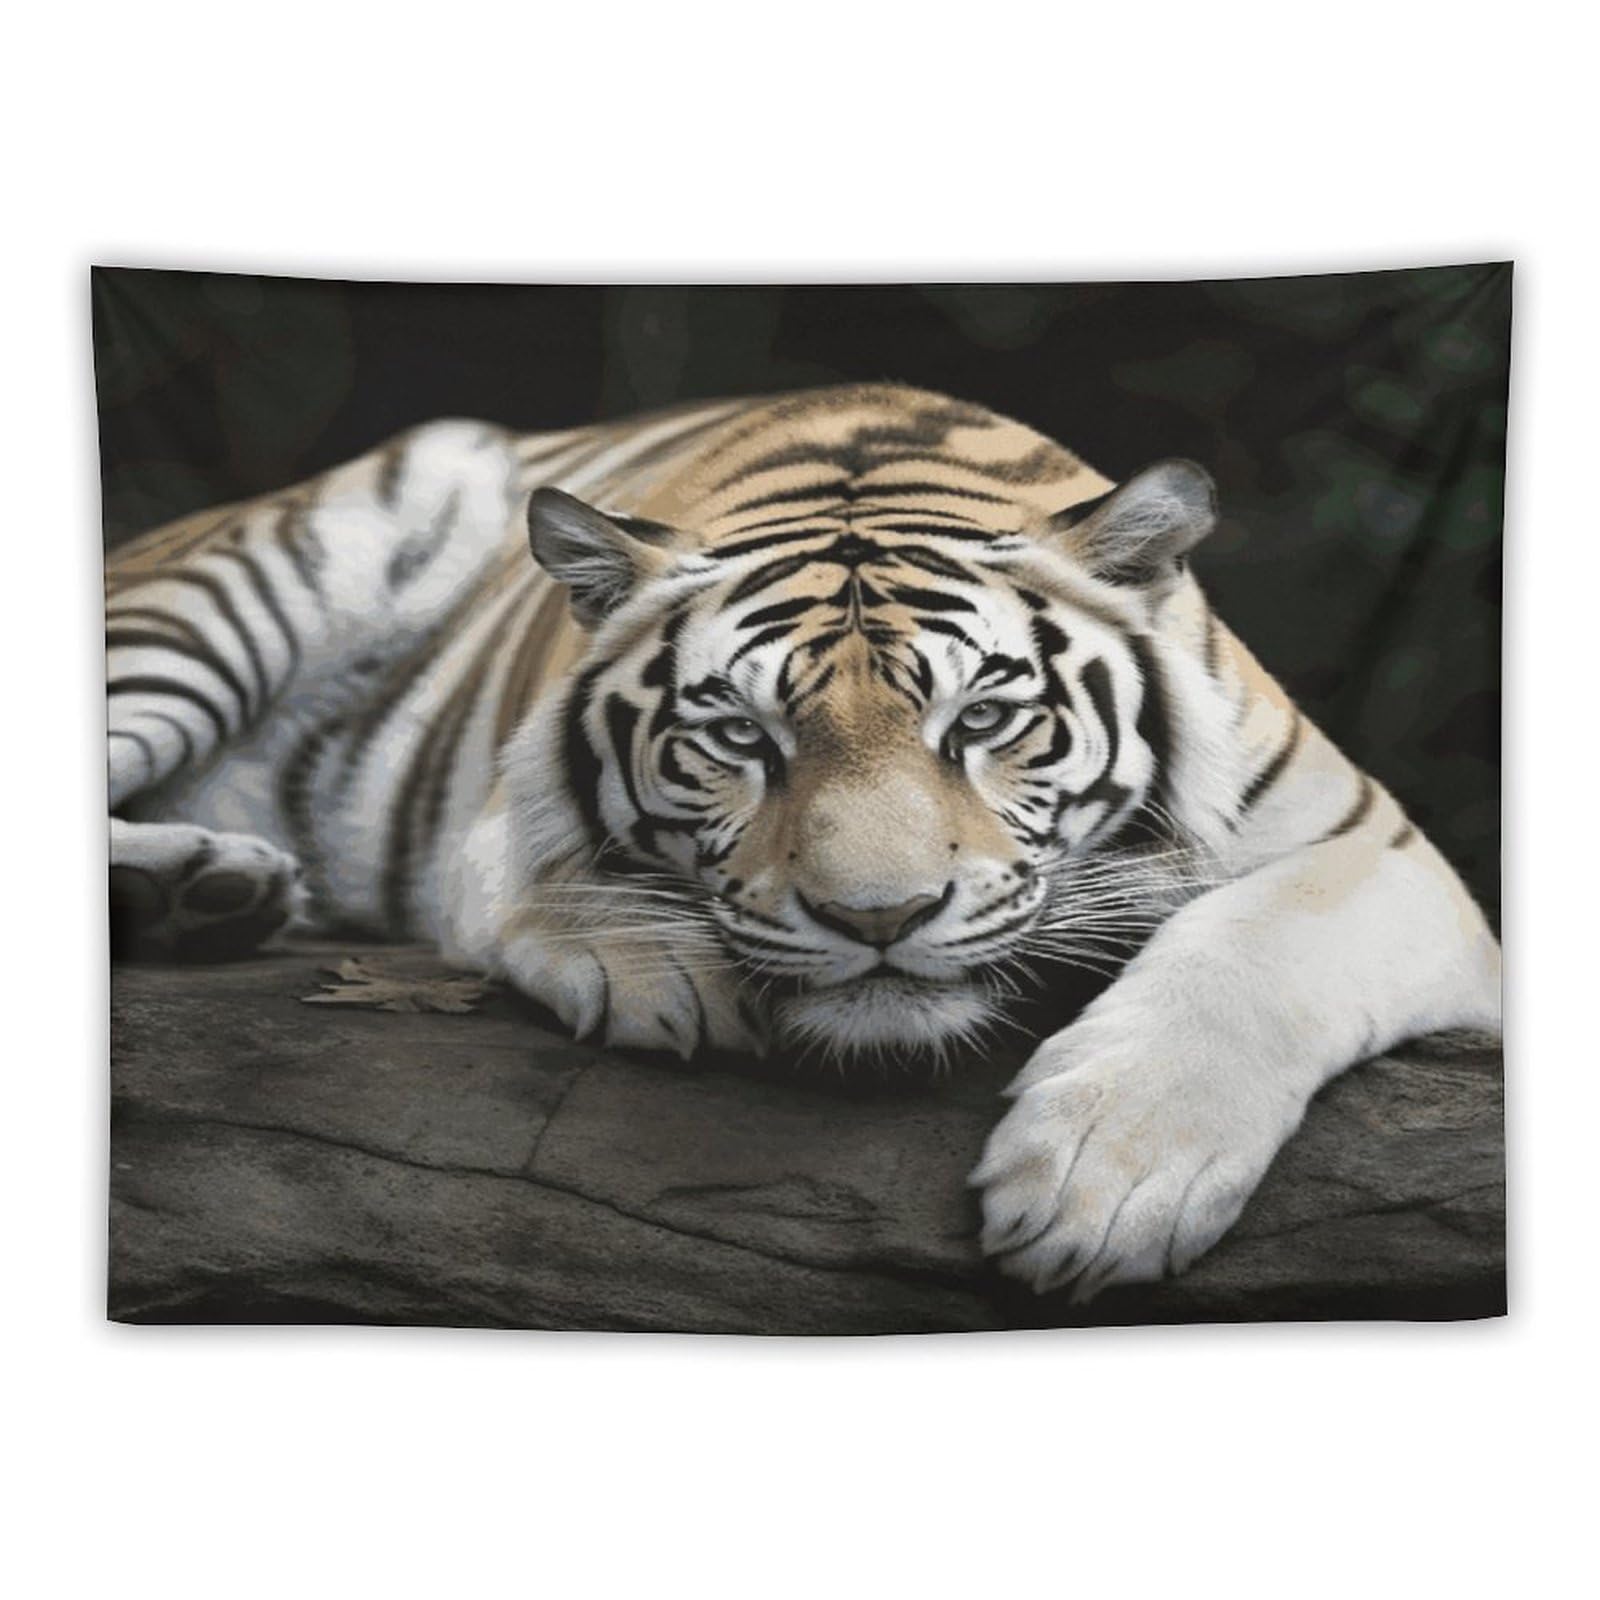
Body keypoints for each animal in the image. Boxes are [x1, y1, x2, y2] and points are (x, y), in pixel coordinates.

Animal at [105, 382, 1502, 1301]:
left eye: (980, 719)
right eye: (738, 733)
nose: (875, 918)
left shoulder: (1380, 848)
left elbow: (1259, 948)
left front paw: (1103, 1184)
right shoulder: (501, 804)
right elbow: (546, 877)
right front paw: (659, 971)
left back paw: (208, 890)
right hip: (229, 588)